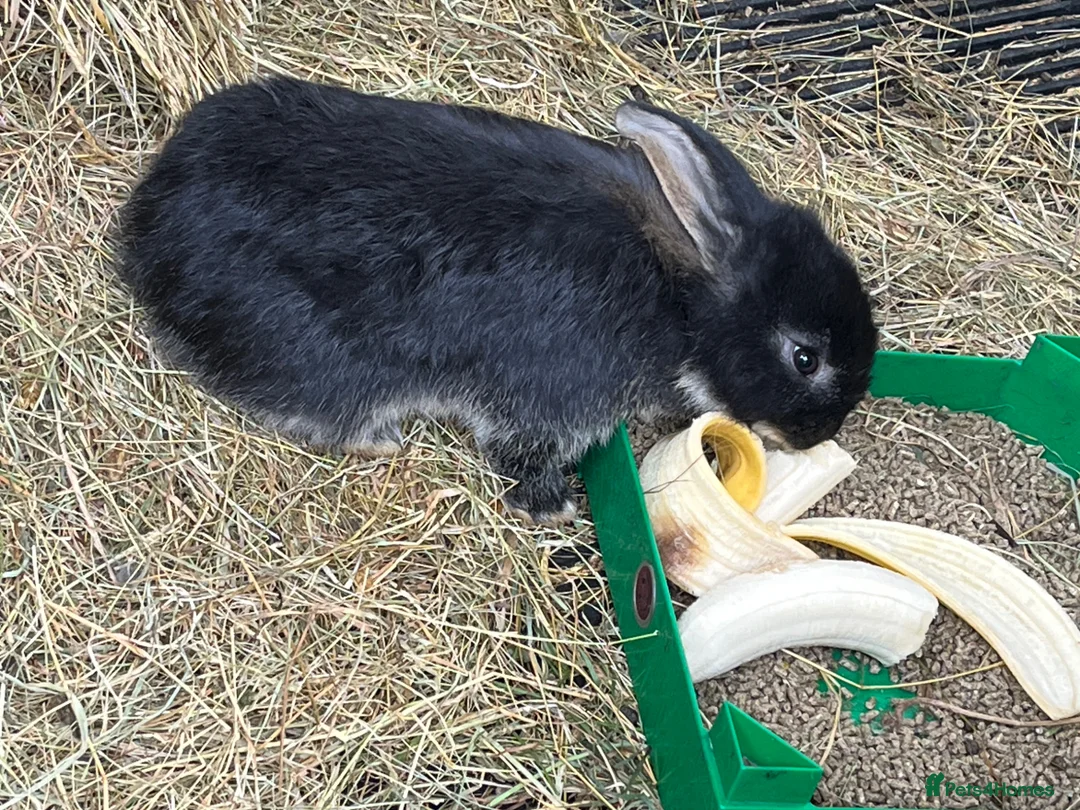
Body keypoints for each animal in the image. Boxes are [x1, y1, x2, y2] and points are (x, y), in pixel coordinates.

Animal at [115, 76, 877, 526]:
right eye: (804, 357)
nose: (820, 436)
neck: (680, 299)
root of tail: (147, 226)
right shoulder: (546, 403)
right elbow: (519, 457)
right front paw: (556, 511)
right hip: (325, 361)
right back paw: (380, 442)